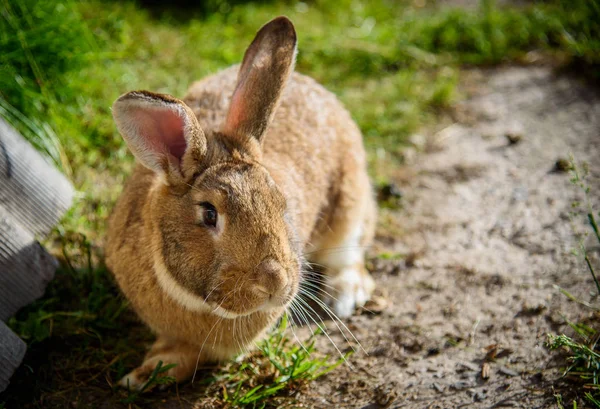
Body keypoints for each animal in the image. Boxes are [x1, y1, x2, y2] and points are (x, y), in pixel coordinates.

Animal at [104, 15, 376, 388]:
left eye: (281, 204)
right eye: (209, 214)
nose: (274, 283)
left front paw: (145, 375)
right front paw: (142, 375)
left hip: (349, 203)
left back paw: (344, 296)